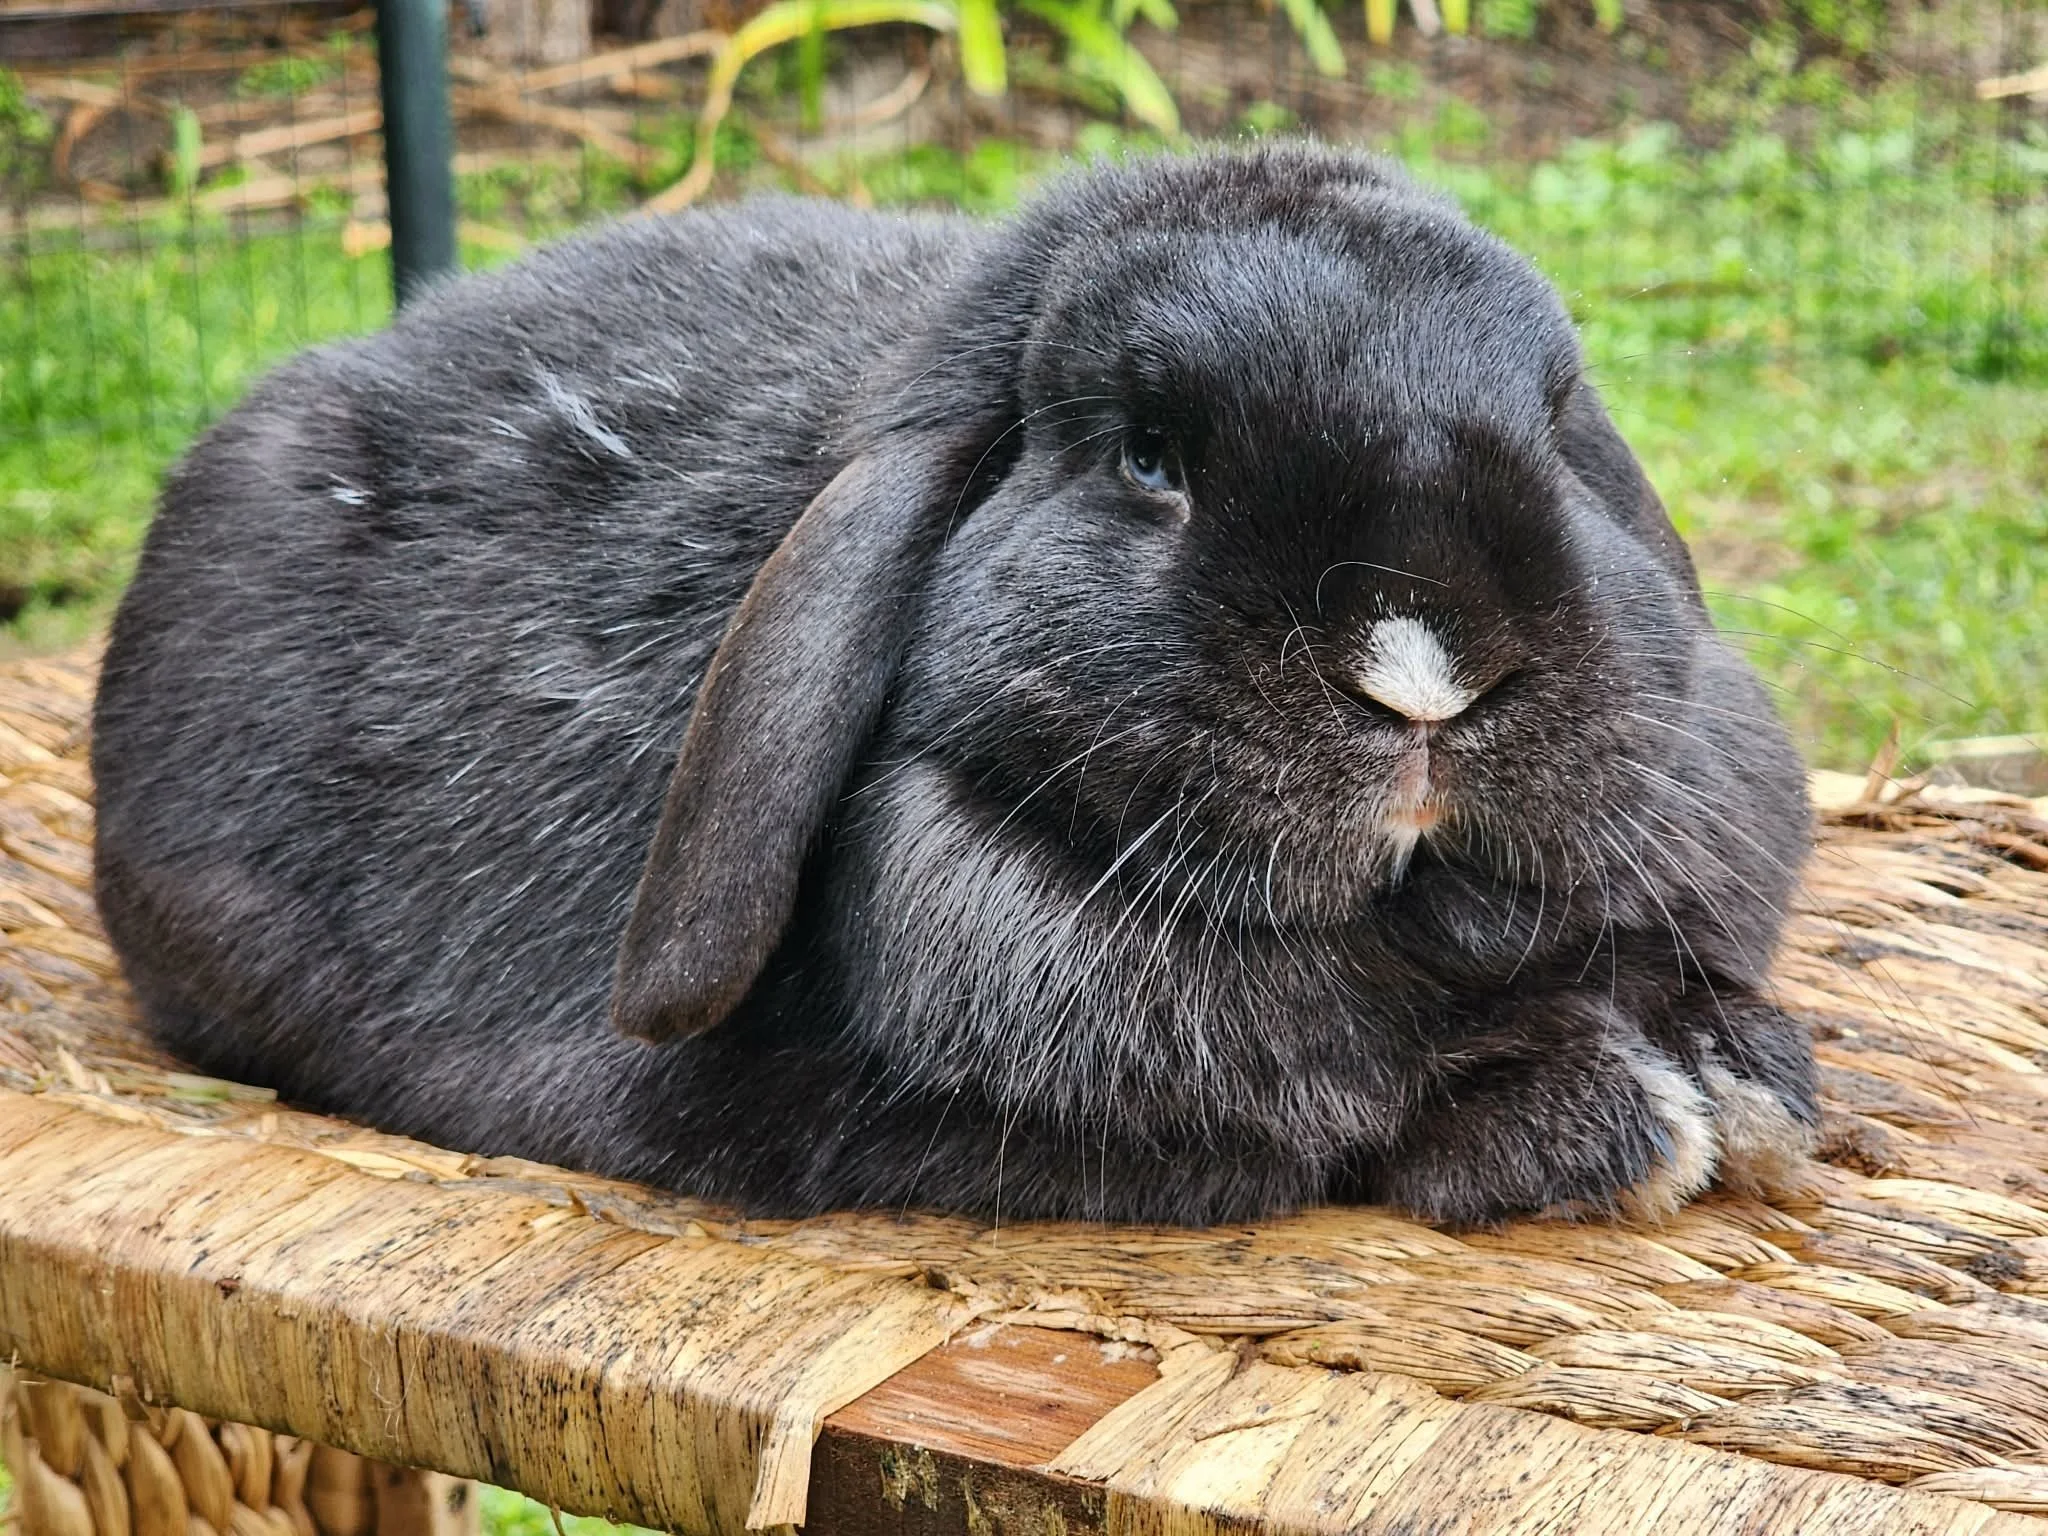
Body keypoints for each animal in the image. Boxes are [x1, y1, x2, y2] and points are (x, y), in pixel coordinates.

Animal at [90, 144, 1819, 1228]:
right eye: (1149, 457)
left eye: (1557, 416)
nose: (1426, 670)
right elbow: (1328, 1111)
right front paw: (1612, 1120)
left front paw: (1752, 1075)